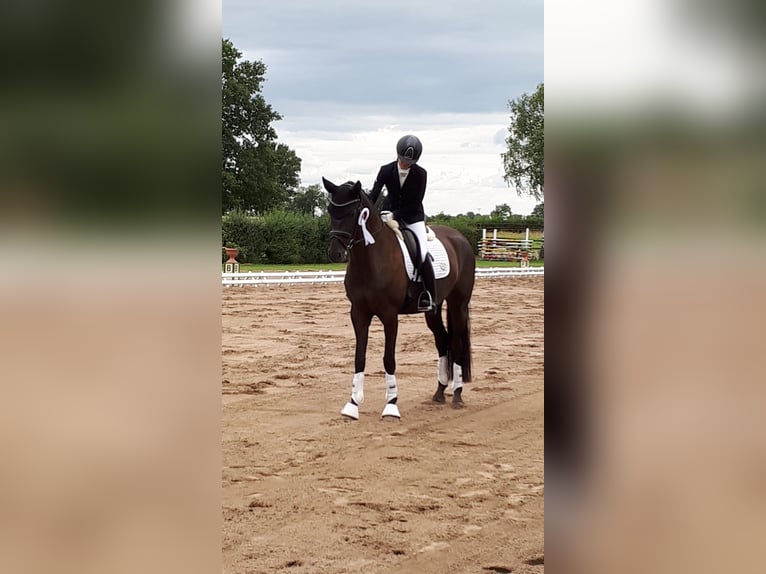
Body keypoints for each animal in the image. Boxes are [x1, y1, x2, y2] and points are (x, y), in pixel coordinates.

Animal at [322, 178, 476, 420]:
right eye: (330, 210)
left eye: (353, 212)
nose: (335, 253)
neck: (372, 260)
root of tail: (460, 238)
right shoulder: (359, 314)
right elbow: (359, 357)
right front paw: (353, 404)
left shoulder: (389, 316)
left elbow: (389, 359)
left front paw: (391, 405)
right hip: (433, 309)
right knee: (442, 340)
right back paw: (440, 392)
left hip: (458, 304)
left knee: (457, 342)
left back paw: (458, 395)